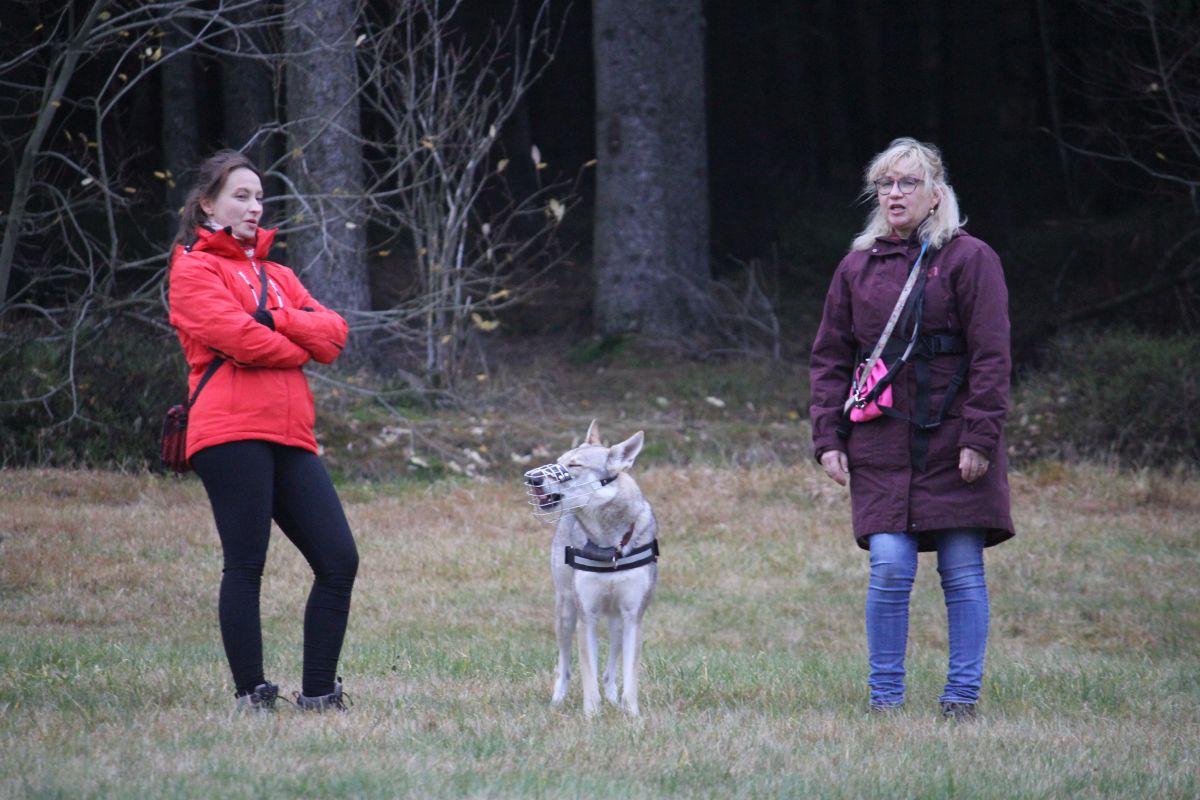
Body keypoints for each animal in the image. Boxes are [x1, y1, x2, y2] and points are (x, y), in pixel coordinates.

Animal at [523, 422, 662, 714]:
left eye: (574, 465)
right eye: (559, 461)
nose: (533, 479)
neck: (608, 545)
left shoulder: (633, 616)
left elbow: (630, 677)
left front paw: (632, 715)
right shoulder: (587, 616)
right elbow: (588, 675)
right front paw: (592, 715)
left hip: (617, 622)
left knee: (609, 674)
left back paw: (614, 700)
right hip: (565, 614)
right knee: (564, 667)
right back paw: (558, 701)